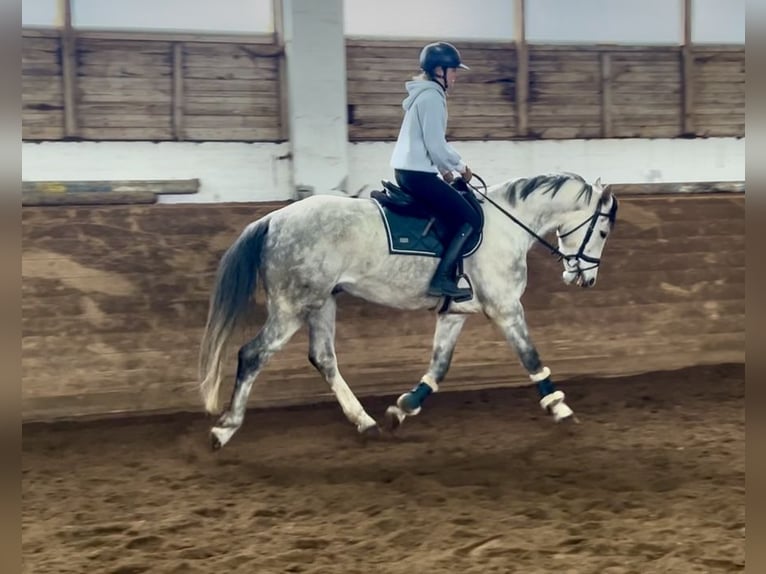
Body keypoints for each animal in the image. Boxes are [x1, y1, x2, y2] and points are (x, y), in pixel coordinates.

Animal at [198, 173, 616, 452]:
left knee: (323, 358)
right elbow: (531, 358)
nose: (586, 278)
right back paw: (226, 428)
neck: (507, 226)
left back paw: (365, 422)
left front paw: (402, 410)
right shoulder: (506, 308)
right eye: (602, 232)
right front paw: (560, 408)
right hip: (292, 307)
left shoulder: (455, 313)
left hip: (321, 303)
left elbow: (439, 366)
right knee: (252, 355)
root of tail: (273, 220)